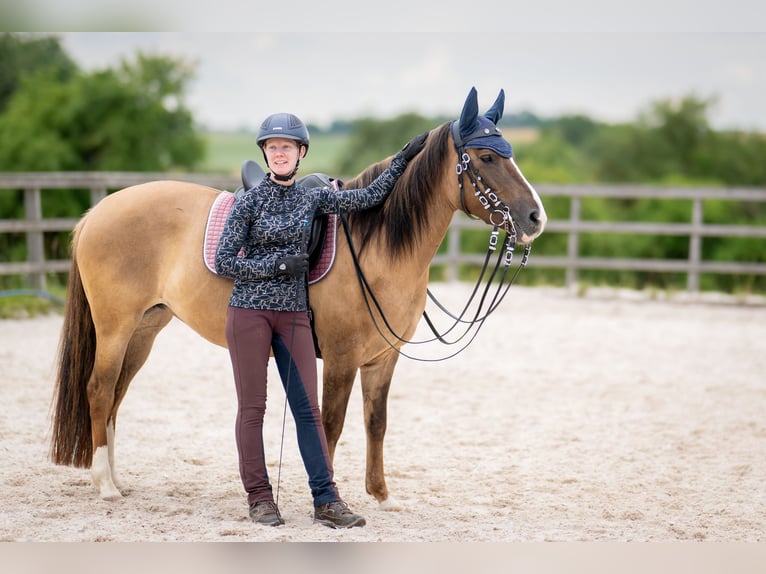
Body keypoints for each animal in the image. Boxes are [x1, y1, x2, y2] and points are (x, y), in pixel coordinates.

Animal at [51, 85, 548, 508]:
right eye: (487, 156)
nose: (535, 217)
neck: (376, 246)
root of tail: (98, 212)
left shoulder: (383, 358)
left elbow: (376, 421)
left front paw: (381, 495)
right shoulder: (342, 358)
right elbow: (331, 425)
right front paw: (329, 499)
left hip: (145, 328)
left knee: (116, 396)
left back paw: (115, 479)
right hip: (116, 328)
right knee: (99, 389)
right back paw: (105, 486)